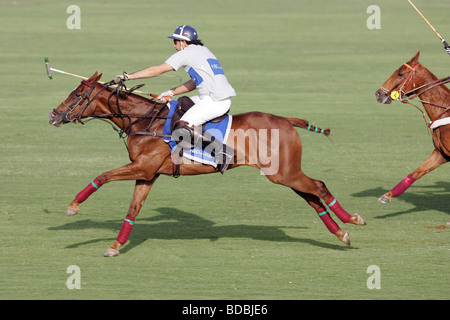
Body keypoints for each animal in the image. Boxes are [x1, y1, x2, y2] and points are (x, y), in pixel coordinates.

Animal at [49, 74, 366, 256]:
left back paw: (352, 220)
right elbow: (133, 209)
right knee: (312, 197)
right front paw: (115, 246)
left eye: (77, 95)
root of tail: (287, 120)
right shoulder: (148, 173)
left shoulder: (143, 167)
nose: (53, 115)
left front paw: (73, 207)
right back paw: (342, 233)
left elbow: (102, 176)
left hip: (284, 173)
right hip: (284, 173)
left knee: (319, 187)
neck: (143, 121)